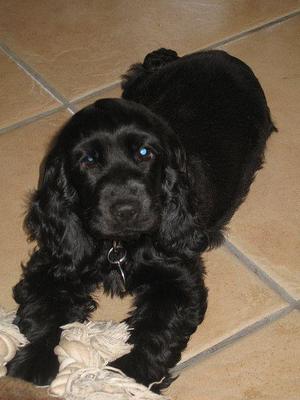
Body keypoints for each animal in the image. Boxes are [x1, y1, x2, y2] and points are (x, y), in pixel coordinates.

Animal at [7, 49, 276, 390]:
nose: (126, 209)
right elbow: (42, 311)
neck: (119, 246)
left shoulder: (178, 275)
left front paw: (128, 375)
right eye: (88, 161)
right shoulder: (56, 260)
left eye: (145, 153)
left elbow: (158, 329)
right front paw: (31, 367)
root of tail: (221, 53)